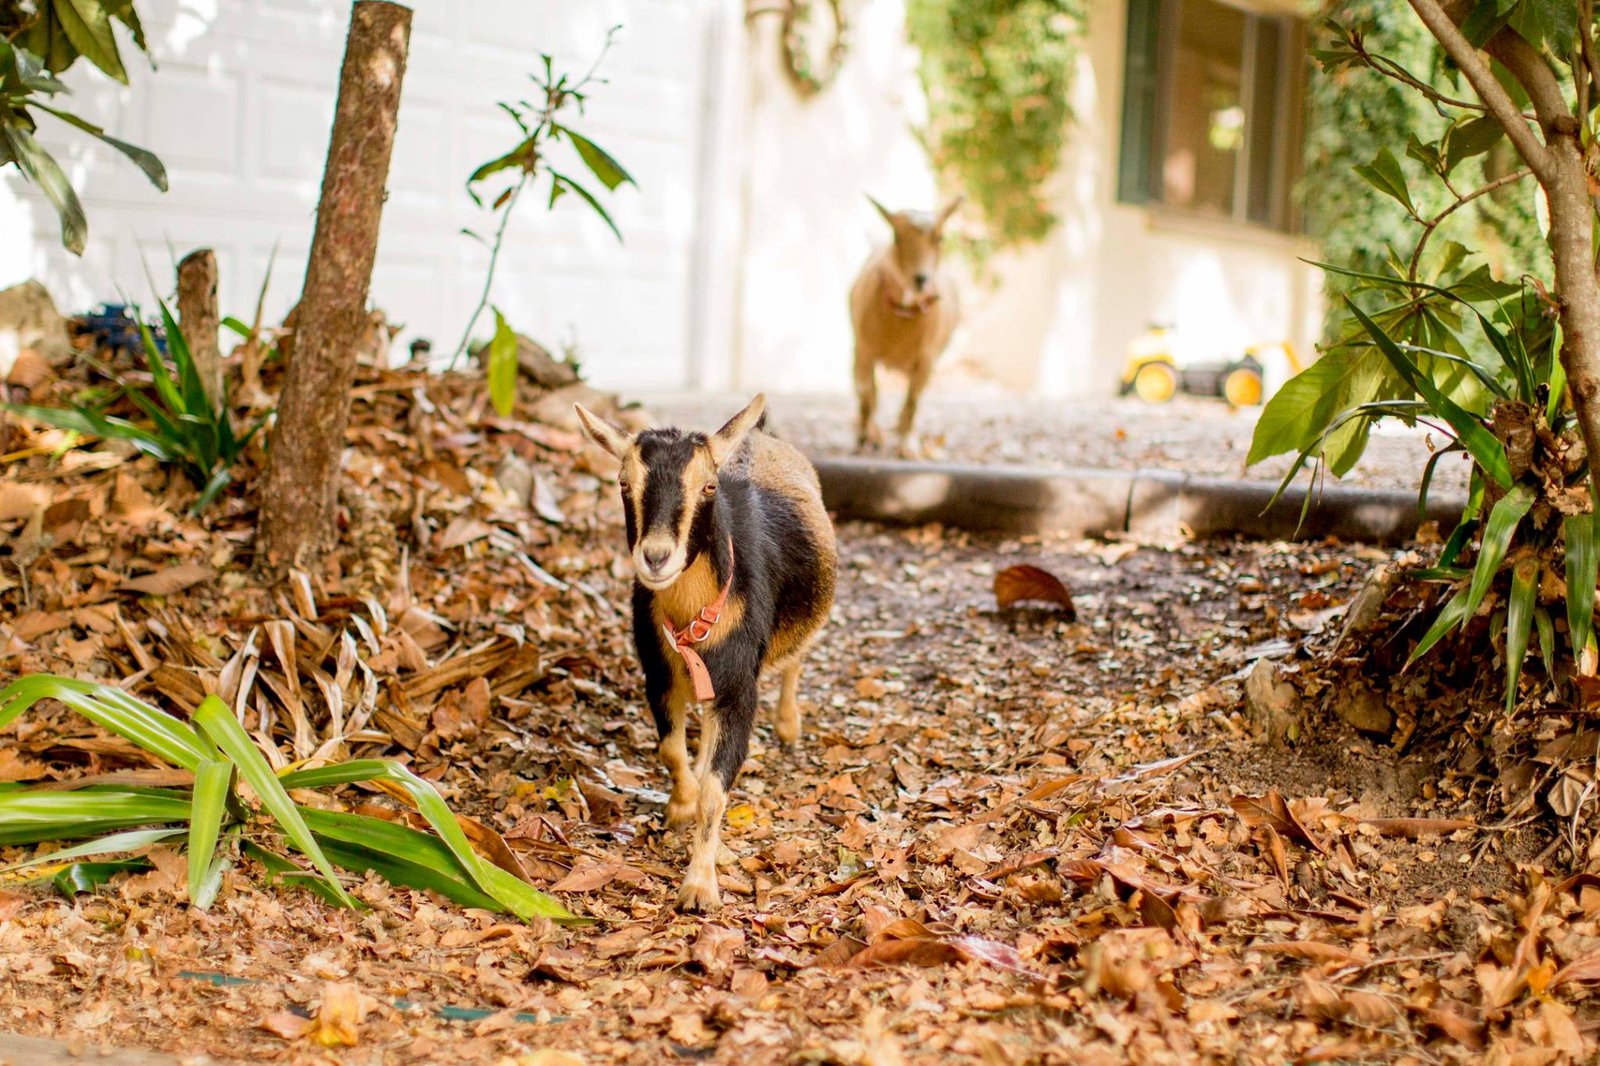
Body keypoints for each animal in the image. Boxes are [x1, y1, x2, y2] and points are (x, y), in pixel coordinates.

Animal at [576, 393, 838, 909]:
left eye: (709, 486)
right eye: (623, 482)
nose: (656, 557)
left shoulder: (739, 689)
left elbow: (716, 793)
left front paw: (699, 886)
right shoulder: (659, 674)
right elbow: (670, 750)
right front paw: (681, 805)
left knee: (796, 660)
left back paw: (788, 724)